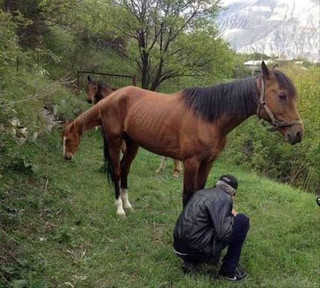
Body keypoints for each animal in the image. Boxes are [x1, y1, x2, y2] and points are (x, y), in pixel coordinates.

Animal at [63, 63, 304, 216]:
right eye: (282, 95)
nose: (298, 133)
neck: (208, 117)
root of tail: (111, 98)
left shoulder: (208, 163)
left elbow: (198, 192)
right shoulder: (191, 163)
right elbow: (187, 196)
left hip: (132, 144)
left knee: (124, 169)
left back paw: (128, 204)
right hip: (115, 141)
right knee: (116, 170)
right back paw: (119, 209)